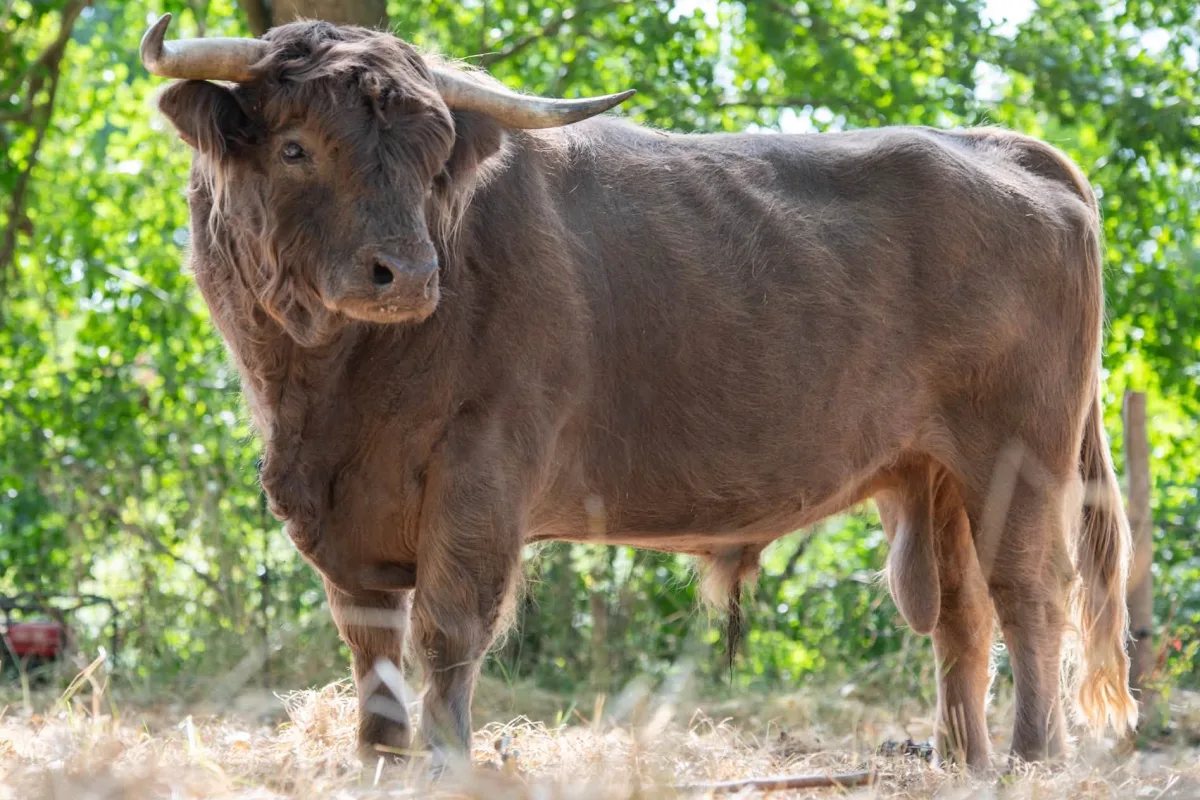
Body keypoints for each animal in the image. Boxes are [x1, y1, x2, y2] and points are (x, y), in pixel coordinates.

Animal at [139, 12, 1137, 772]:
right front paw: (378, 761)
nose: (411, 273)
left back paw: (1035, 757)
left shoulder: (479, 473)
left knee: (1028, 594)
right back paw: (964, 763)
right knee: (961, 617)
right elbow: (372, 648)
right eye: (296, 147)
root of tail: (1004, 148)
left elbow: (448, 633)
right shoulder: (343, 513)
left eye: (431, 158)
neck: (326, 383)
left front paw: (446, 764)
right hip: (933, 474)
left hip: (1016, 458)